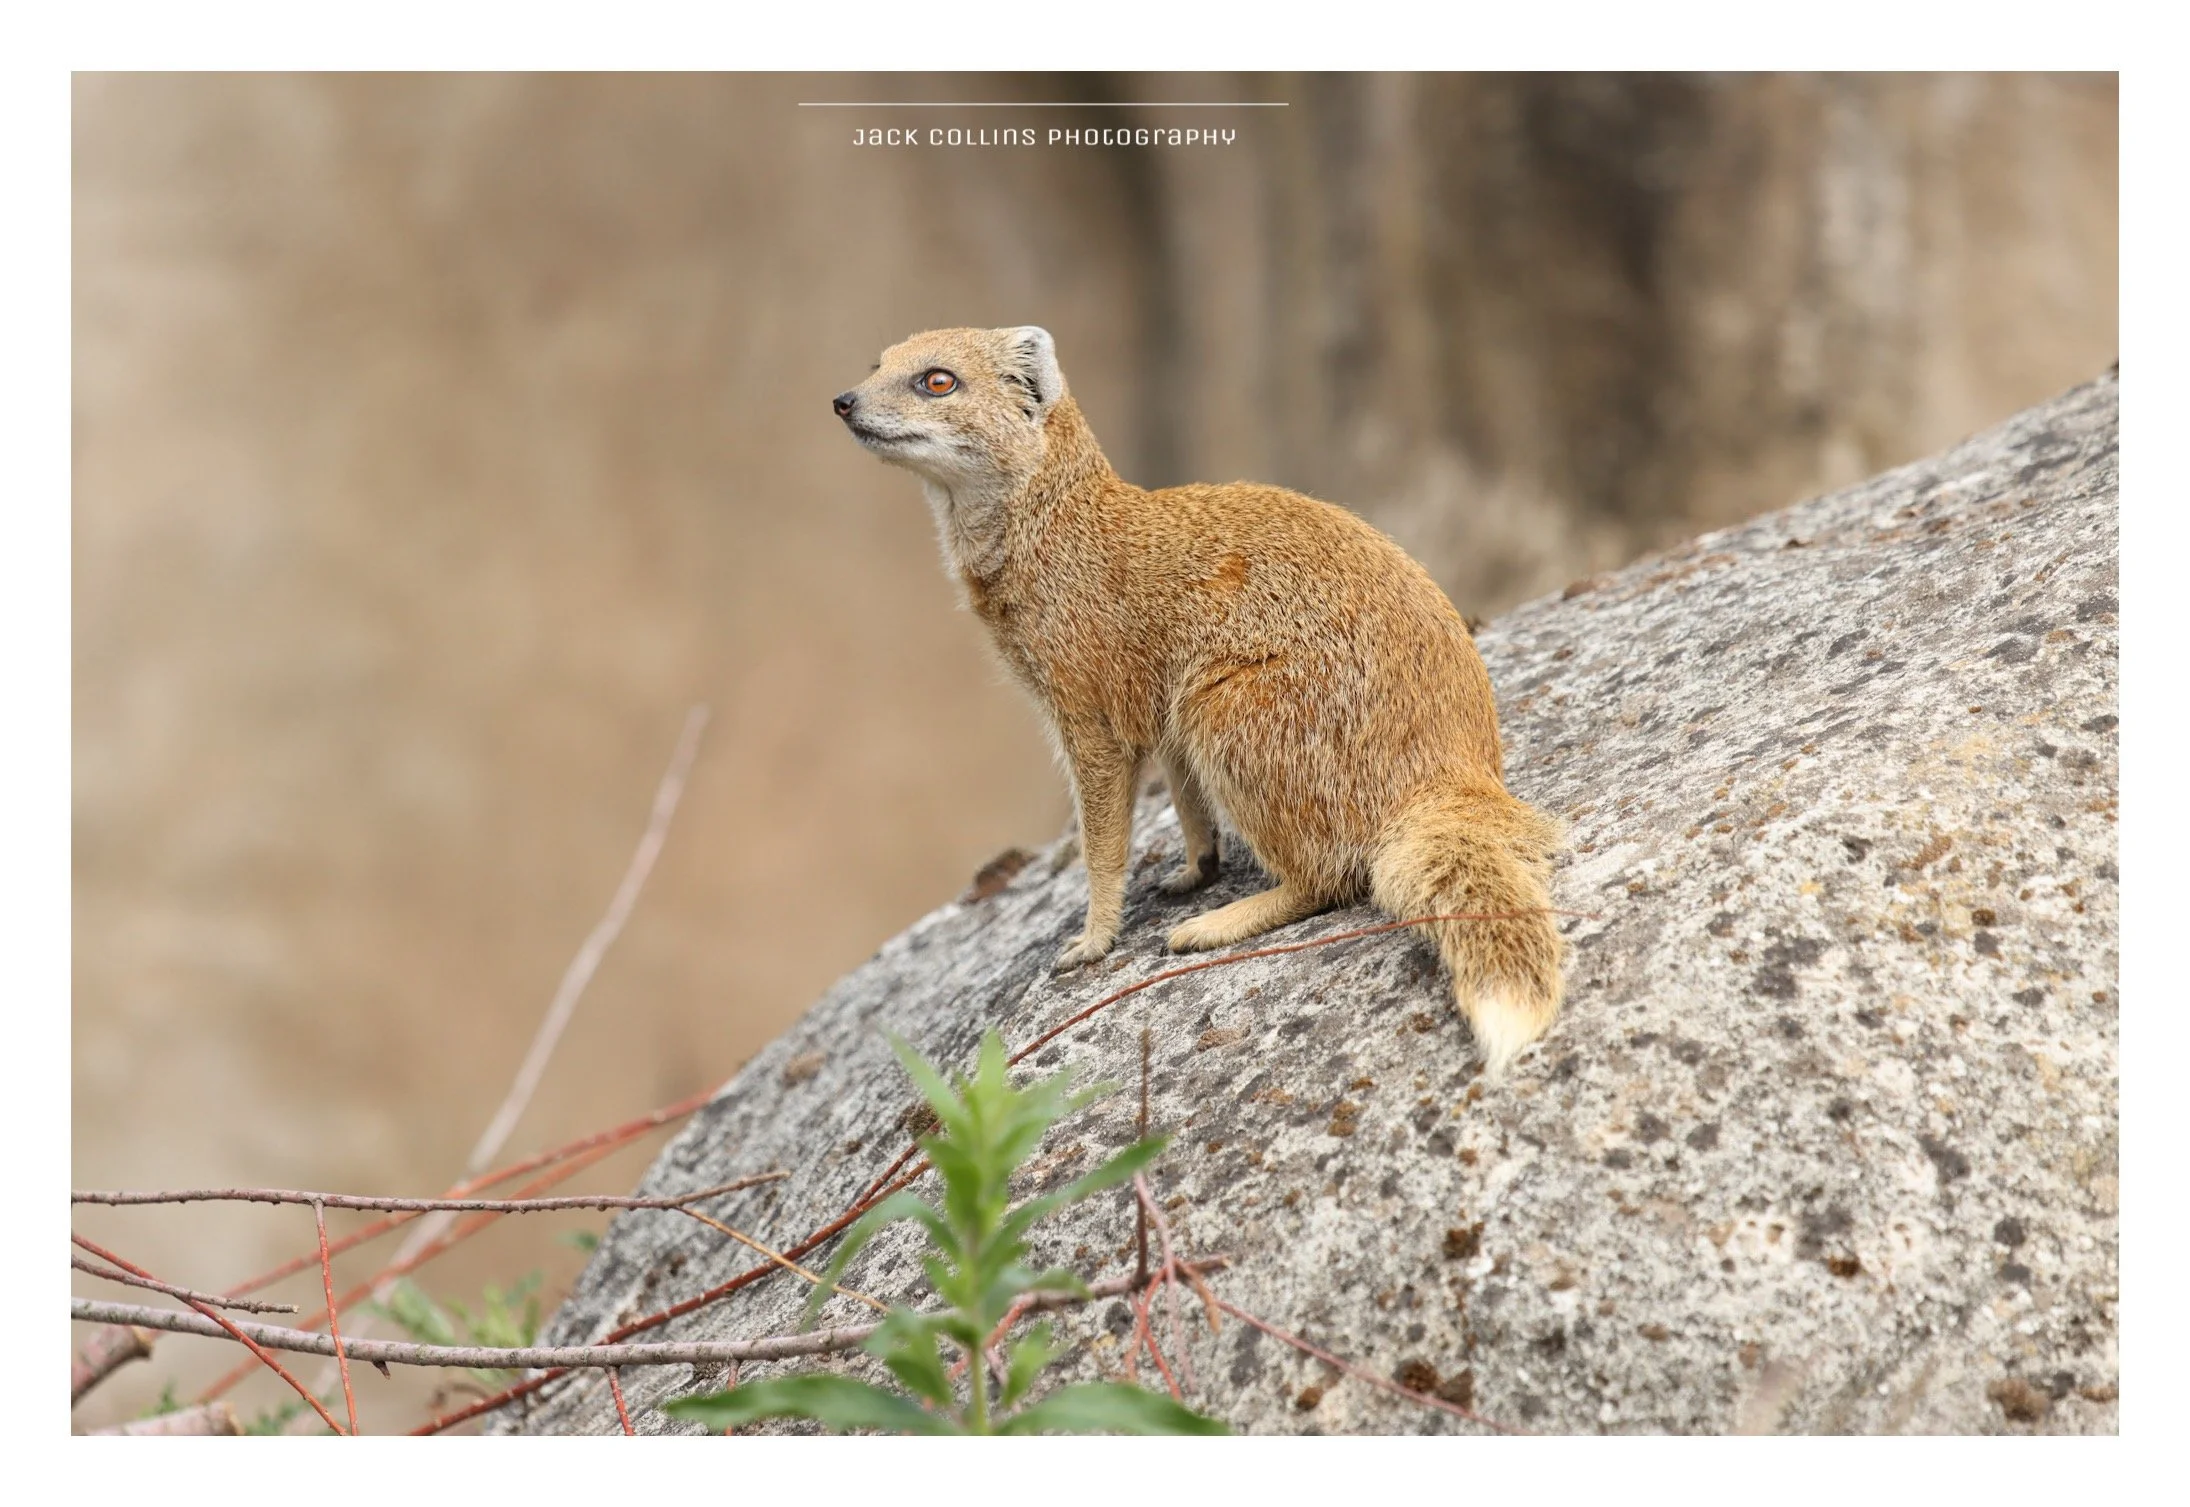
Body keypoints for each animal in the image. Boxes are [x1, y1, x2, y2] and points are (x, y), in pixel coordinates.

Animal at [832, 325, 1566, 1077]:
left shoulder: (1091, 697)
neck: (1053, 537)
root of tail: (1460, 772)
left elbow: (1103, 838)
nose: (844, 400)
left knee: (1330, 878)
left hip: (1232, 704)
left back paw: (1216, 924)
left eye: (938, 380)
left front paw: (1093, 940)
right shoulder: (1160, 697)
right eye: (877, 364)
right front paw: (1195, 868)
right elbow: (1185, 796)